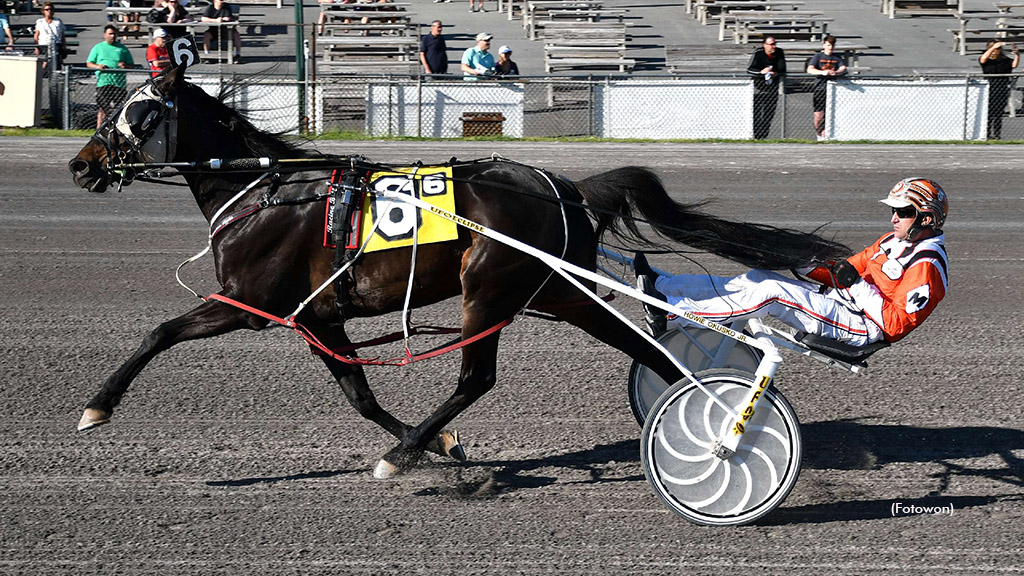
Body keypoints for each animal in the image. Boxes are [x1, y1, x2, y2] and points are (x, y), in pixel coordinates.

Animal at [70, 63, 847, 475]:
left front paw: (96, 404)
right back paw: (697, 410)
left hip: (490, 289)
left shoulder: (245, 299)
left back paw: (404, 453)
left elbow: (158, 333)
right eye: (115, 103)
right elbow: (358, 394)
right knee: (643, 348)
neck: (266, 189)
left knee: (477, 377)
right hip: (560, 293)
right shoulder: (317, 316)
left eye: (138, 110)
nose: (80, 165)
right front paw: (441, 442)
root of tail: (567, 187)